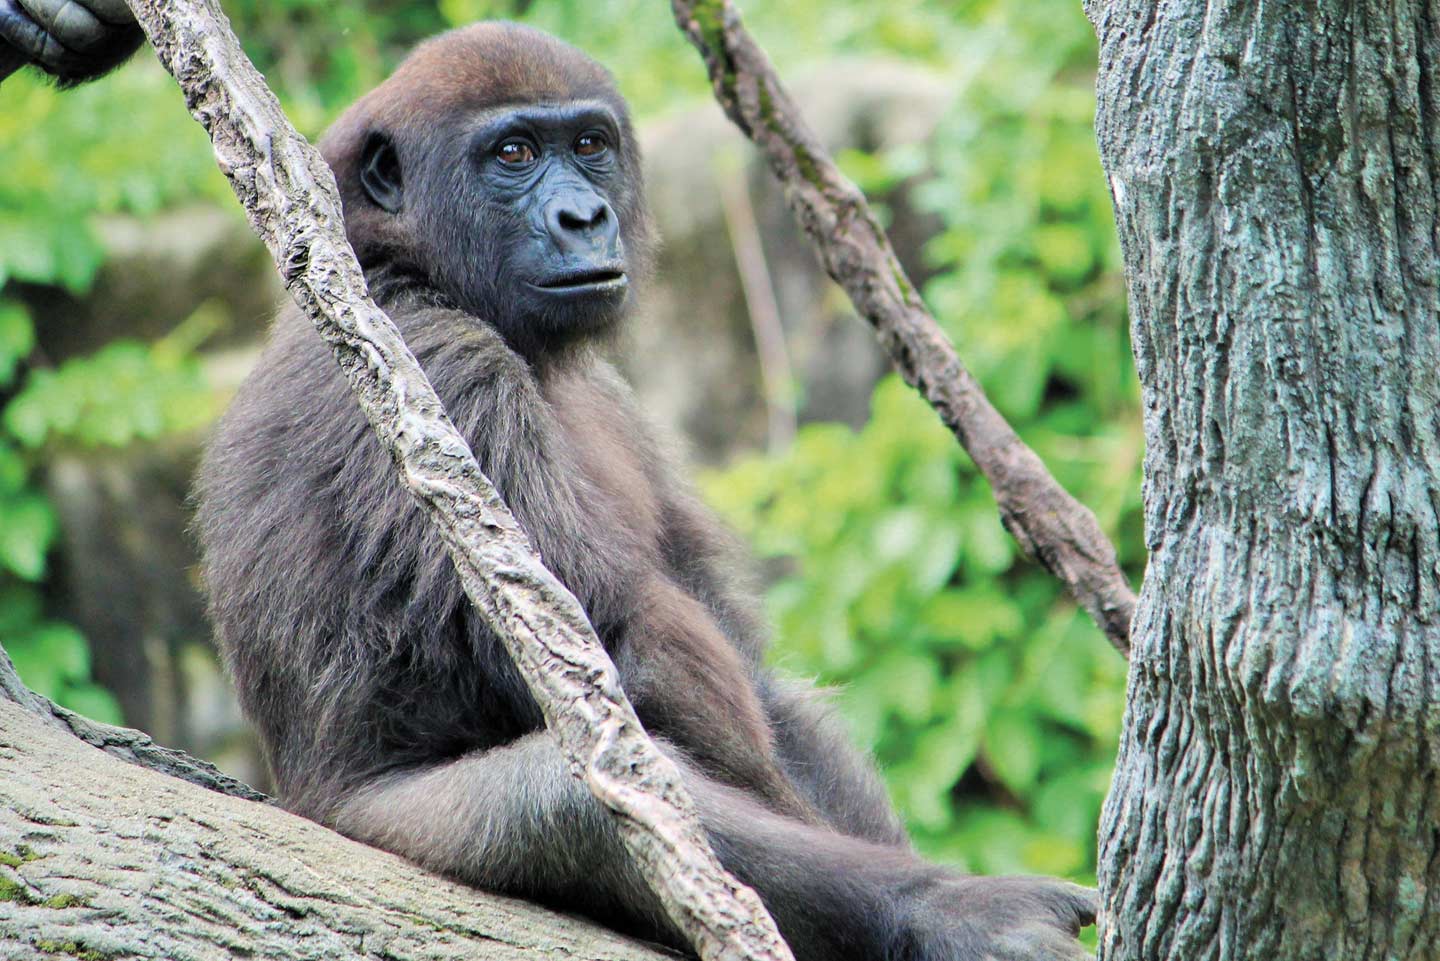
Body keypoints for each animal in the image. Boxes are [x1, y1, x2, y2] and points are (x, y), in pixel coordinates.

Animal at [192, 22, 1097, 961]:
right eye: (513, 154)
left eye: (590, 145)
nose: (584, 218)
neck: (401, 267)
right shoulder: (435, 366)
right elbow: (609, 666)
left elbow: (750, 675)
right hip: (376, 828)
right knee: (571, 795)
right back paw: (945, 909)